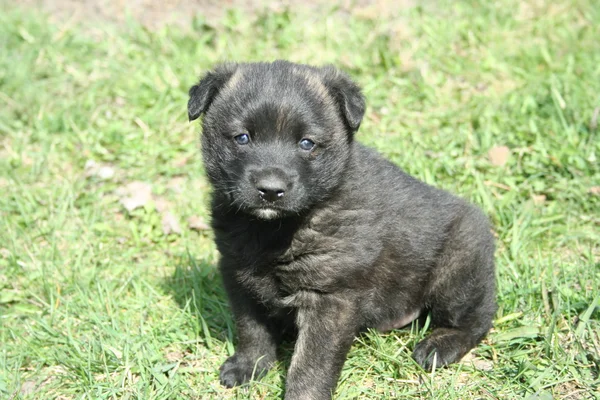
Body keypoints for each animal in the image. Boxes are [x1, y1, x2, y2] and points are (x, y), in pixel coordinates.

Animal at [189, 60, 496, 400]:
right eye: (242, 138)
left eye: (306, 143)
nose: (270, 190)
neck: (277, 229)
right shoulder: (238, 276)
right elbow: (251, 329)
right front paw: (250, 366)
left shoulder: (329, 297)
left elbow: (310, 363)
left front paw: (302, 396)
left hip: (456, 269)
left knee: (478, 317)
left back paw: (439, 346)